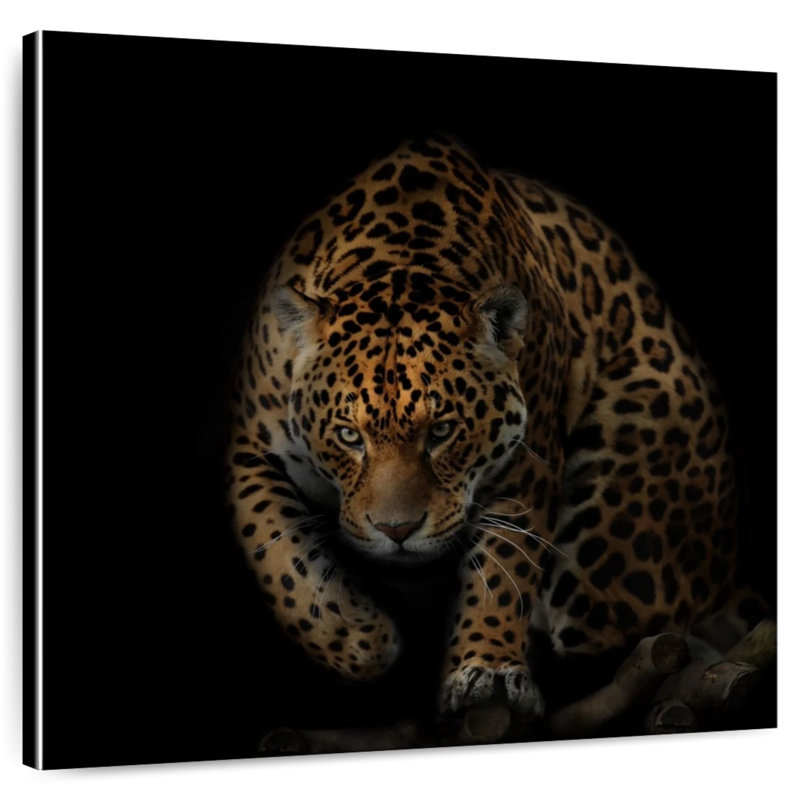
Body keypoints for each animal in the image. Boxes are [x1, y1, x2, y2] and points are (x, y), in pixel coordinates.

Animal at [225, 134, 766, 722]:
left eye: (441, 432)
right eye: (350, 436)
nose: (397, 532)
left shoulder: (529, 457)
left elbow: (504, 567)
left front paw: (487, 668)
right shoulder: (249, 444)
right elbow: (273, 549)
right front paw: (357, 638)